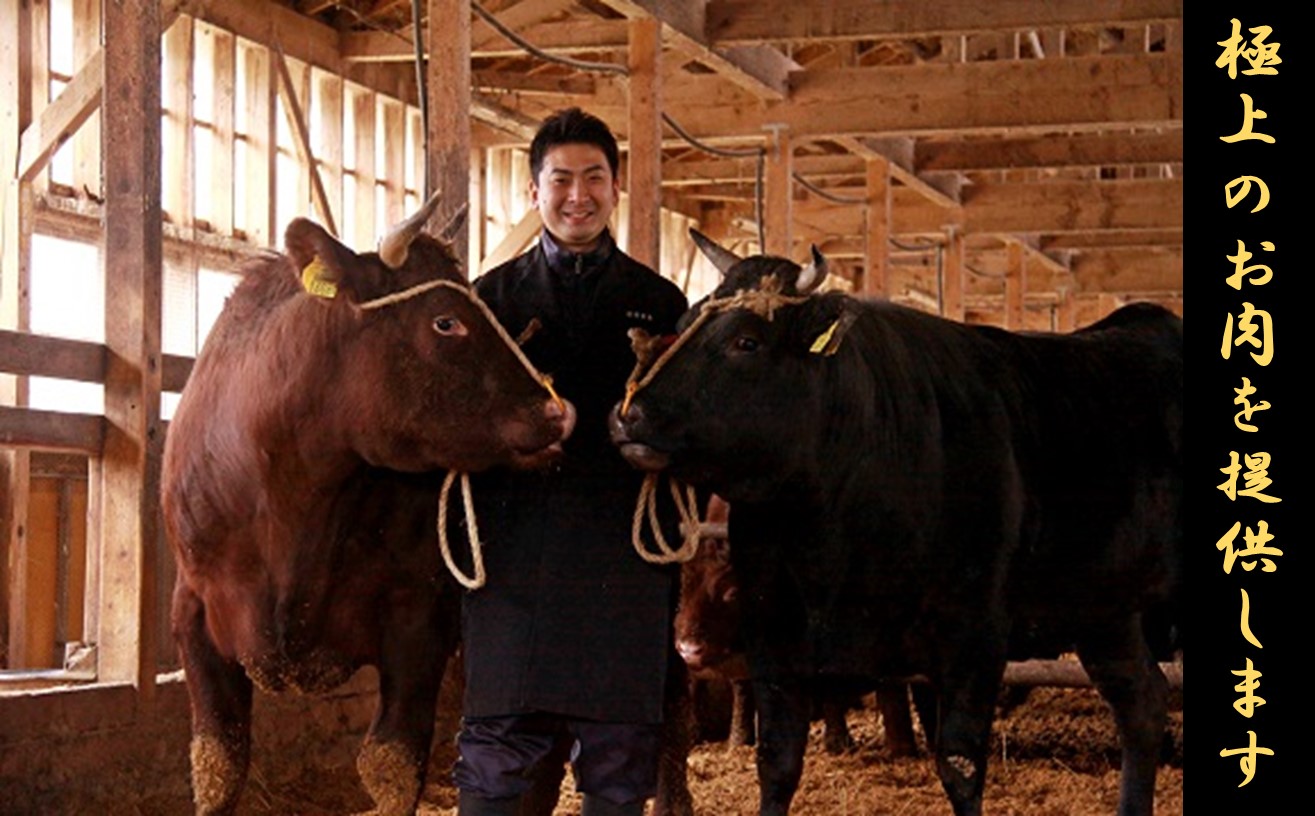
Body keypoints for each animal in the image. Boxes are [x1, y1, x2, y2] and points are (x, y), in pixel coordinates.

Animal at [164, 195, 575, 814]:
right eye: (446, 320)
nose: (556, 413)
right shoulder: (193, 609)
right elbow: (218, 763)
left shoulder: (420, 614)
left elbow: (391, 763)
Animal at [610, 228, 1188, 814]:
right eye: (685, 322)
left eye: (746, 341)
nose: (630, 414)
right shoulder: (774, 632)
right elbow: (776, 762)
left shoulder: (975, 636)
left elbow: (959, 764)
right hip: (1105, 611)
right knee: (1141, 704)